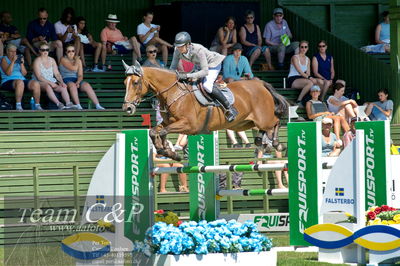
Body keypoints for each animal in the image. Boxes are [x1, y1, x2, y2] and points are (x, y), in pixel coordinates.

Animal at [123, 60, 290, 160]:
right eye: (125, 82)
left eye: (136, 82)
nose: (127, 108)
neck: (174, 93)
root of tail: (260, 83)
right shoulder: (168, 122)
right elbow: (154, 131)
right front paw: (165, 151)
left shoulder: (189, 125)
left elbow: (163, 132)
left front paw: (169, 152)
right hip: (244, 123)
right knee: (263, 130)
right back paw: (261, 142)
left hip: (263, 119)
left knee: (275, 123)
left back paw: (277, 144)